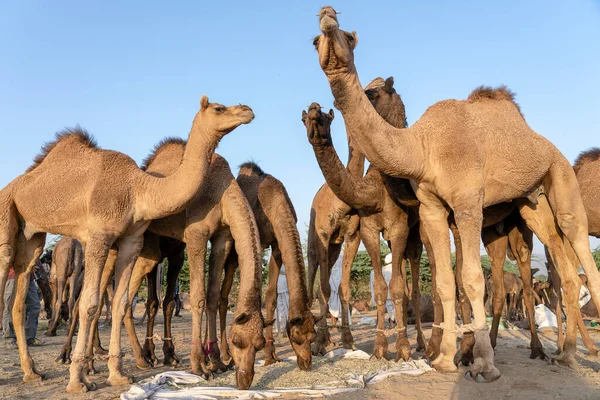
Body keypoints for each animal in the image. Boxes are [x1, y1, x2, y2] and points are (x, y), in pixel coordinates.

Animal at [119, 139, 264, 390]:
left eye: (260, 344)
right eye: (237, 341)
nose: (245, 379)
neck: (222, 190)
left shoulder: (222, 237)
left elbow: (213, 296)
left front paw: (217, 362)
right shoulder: (197, 233)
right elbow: (198, 297)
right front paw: (200, 367)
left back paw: (153, 356)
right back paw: (133, 361)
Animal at [213, 162, 318, 372]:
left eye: (312, 337)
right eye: (296, 338)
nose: (306, 363)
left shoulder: (277, 246)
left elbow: (271, 296)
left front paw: (272, 355)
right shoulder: (258, 242)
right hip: (231, 251)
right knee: (223, 296)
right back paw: (226, 354)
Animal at [314, 6, 600, 380]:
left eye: (348, 37)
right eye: (315, 40)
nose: (327, 17)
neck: (423, 147)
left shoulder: (467, 203)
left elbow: (473, 279)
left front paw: (484, 364)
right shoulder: (431, 208)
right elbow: (445, 283)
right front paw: (444, 358)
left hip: (561, 174)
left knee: (577, 239)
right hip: (532, 201)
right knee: (563, 268)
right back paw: (564, 355)